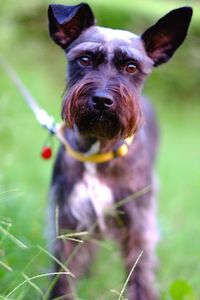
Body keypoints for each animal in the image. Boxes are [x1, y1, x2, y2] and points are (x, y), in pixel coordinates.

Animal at [47, 3, 192, 298]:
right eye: (85, 60)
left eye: (131, 67)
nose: (102, 100)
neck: (99, 151)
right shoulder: (69, 220)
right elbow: (65, 274)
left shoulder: (138, 226)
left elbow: (140, 276)